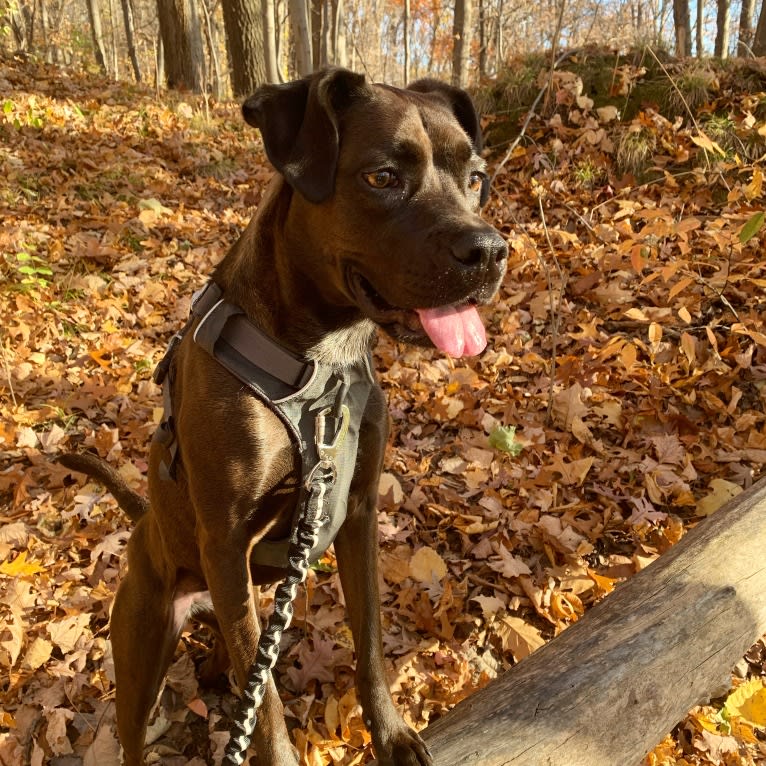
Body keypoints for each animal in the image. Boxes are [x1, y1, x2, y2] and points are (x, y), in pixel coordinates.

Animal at [60, 69, 510, 764]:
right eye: (383, 176)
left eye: (476, 177)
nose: (489, 250)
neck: (323, 363)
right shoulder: (226, 545)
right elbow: (265, 700)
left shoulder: (356, 511)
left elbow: (369, 641)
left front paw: (391, 732)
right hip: (142, 646)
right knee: (145, 725)